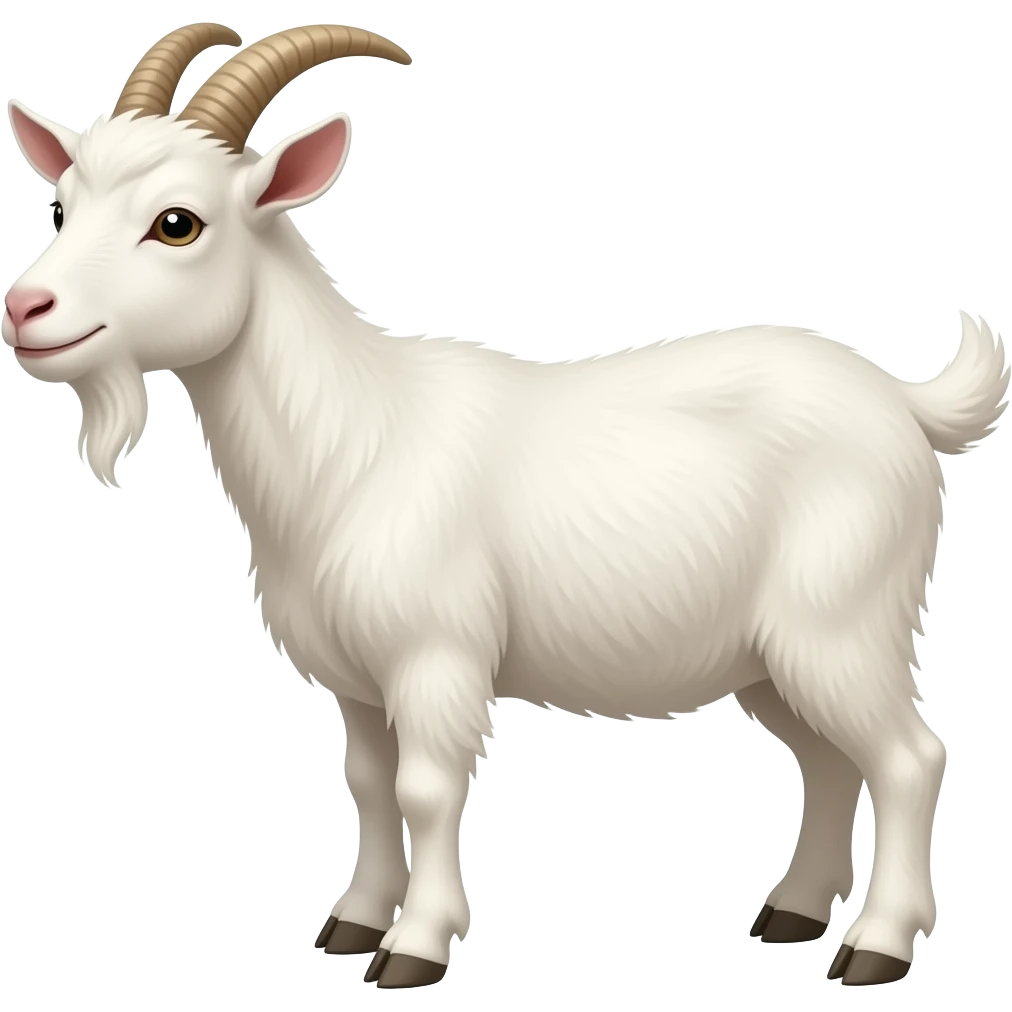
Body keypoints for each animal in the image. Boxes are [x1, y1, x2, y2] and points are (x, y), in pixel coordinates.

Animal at [3, 22, 1008, 991]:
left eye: (177, 223)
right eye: (62, 206)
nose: (26, 307)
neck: (352, 439)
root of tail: (903, 403)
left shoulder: (435, 656)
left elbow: (425, 789)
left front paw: (414, 948)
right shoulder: (357, 679)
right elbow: (367, 783)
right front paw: (352, 923)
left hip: (843, 621)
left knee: (910, 757)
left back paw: (877, 947)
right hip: (769, 654)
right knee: (832, 759)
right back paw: (794, 913)